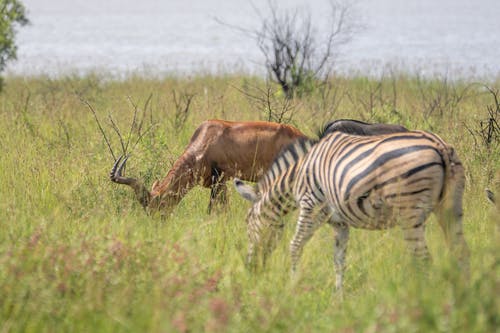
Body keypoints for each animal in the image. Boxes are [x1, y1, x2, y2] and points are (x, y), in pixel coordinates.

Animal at [233, 130, 468, 290]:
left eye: (247, 222)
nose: (250, 269)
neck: (298, 174)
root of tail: (439, 145)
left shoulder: (311, 207)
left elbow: (295, 246)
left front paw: (293, 287)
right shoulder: (340, 222)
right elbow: (339, 260)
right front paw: (339, 298)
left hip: (409, 213)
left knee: (423, 259)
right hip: (451, 209)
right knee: (460, 254)